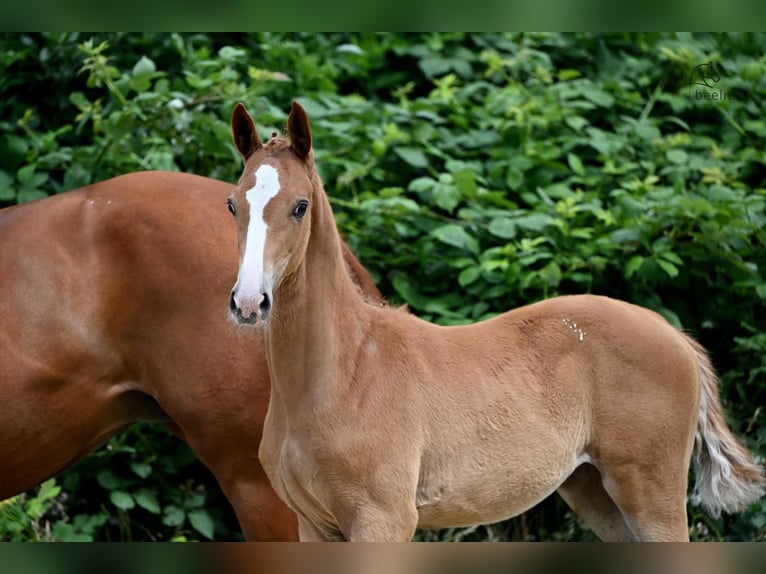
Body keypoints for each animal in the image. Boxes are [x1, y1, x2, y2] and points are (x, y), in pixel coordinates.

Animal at [228, 102, 766, 544]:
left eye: (300, 206)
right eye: (234, 204)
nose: (249, 302)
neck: (342, 372)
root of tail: (671, 332)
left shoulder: (383, 519)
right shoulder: (314, 525)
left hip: (651, 491)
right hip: (593, 489)